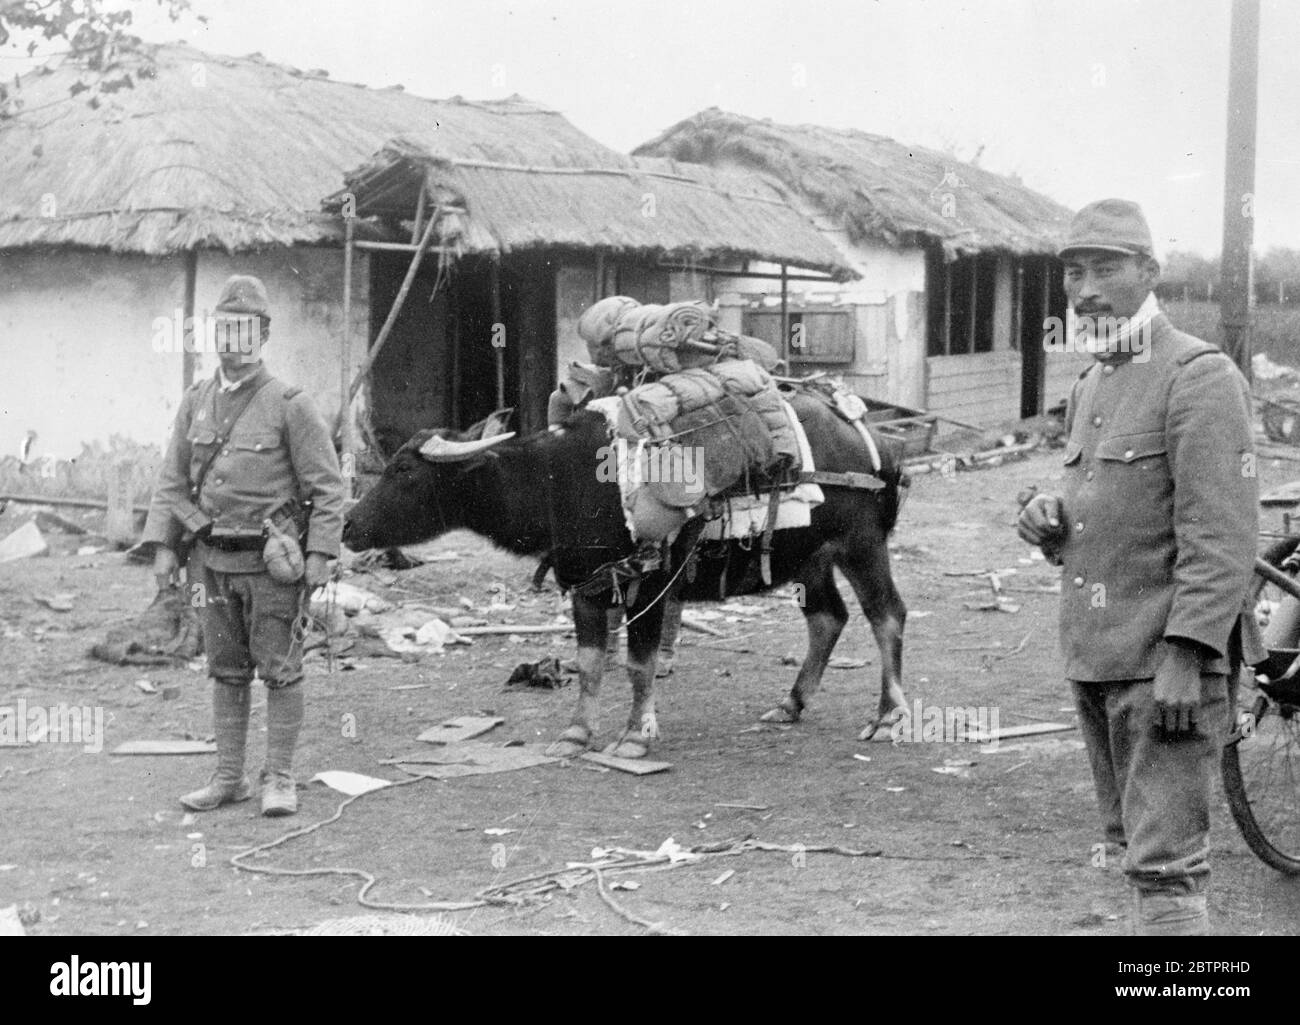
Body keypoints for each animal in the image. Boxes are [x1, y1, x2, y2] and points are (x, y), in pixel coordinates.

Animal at [340, 395, 909, 754]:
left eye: (405, 472)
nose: (347, 524)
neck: (559, 481)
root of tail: (876, 442)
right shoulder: (587, 587)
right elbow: (590, 663)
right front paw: (576, 734)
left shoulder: (650, 587)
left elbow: (639, 664)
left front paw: (635, 735)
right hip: (810, 559)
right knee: (828, 619)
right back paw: (790, 704)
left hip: (861, 546)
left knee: (887, 616)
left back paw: (887, 716)